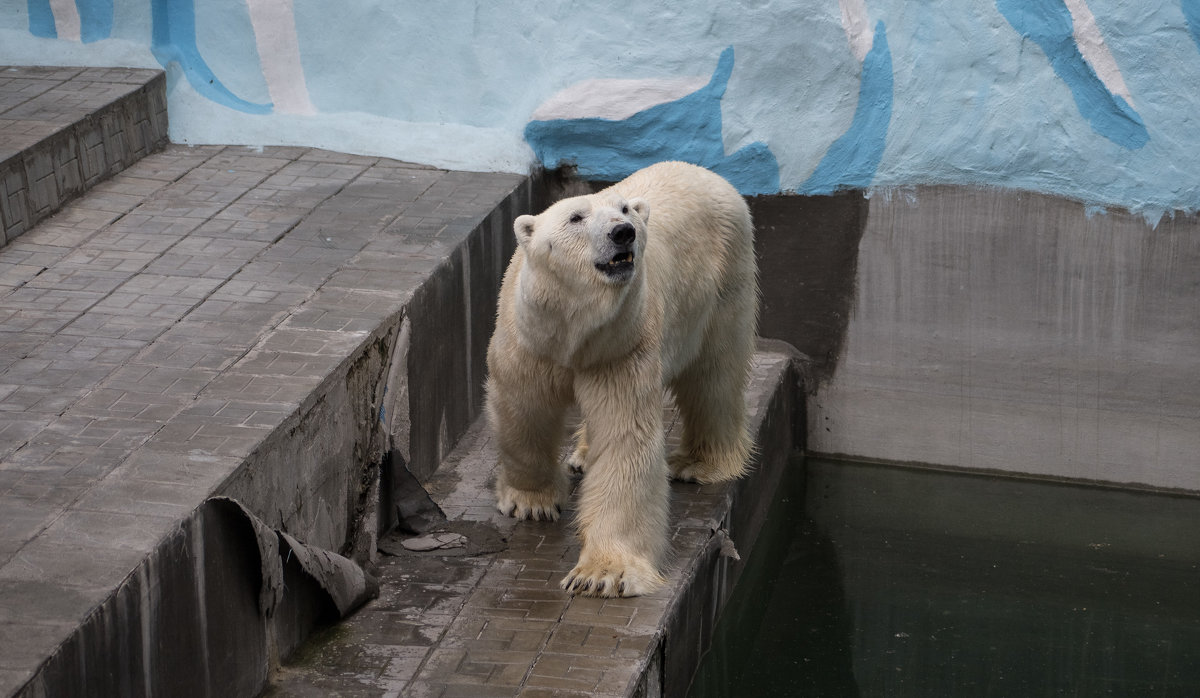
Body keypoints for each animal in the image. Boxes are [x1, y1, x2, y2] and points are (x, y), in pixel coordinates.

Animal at [484, 163, 748, 597]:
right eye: (575, 217)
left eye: (625, 209)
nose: (623, 232)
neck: (575, 333)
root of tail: (705, 172)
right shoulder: (529, 341)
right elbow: (523, 411)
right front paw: (531, 503)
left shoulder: (624, 349)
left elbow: (626, 439)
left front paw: (601, 574)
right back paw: (582, 454)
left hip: (725, 273)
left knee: (715, 373)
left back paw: (698, 462)